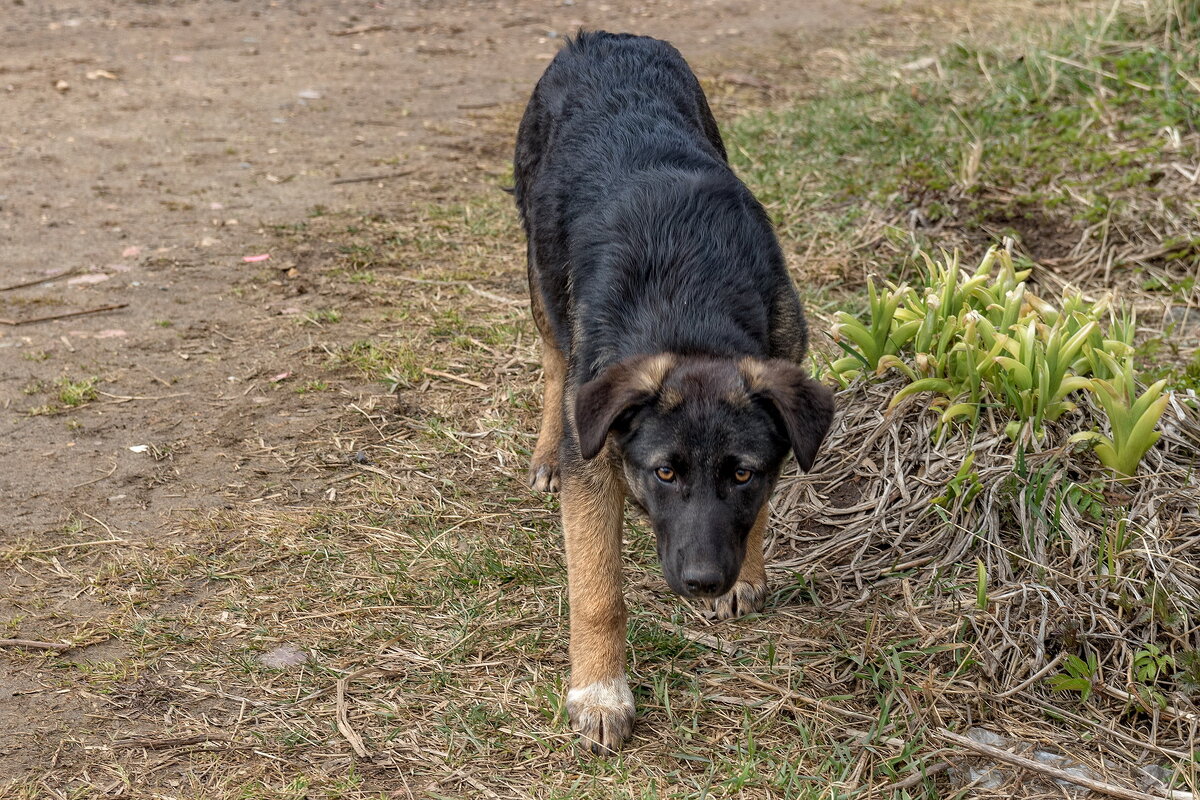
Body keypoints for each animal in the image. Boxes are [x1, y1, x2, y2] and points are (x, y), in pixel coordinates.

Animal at [508, 31, 835, 753]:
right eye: (664, 472)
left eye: (742, 475)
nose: (702, 581)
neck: (691, 307)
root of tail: (603, 37)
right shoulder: (594, 463)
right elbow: (598, 593)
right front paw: (600, 693)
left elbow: (761, 509)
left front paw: (749, 574)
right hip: (540, 275)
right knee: (553, 362)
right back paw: (545, 451)